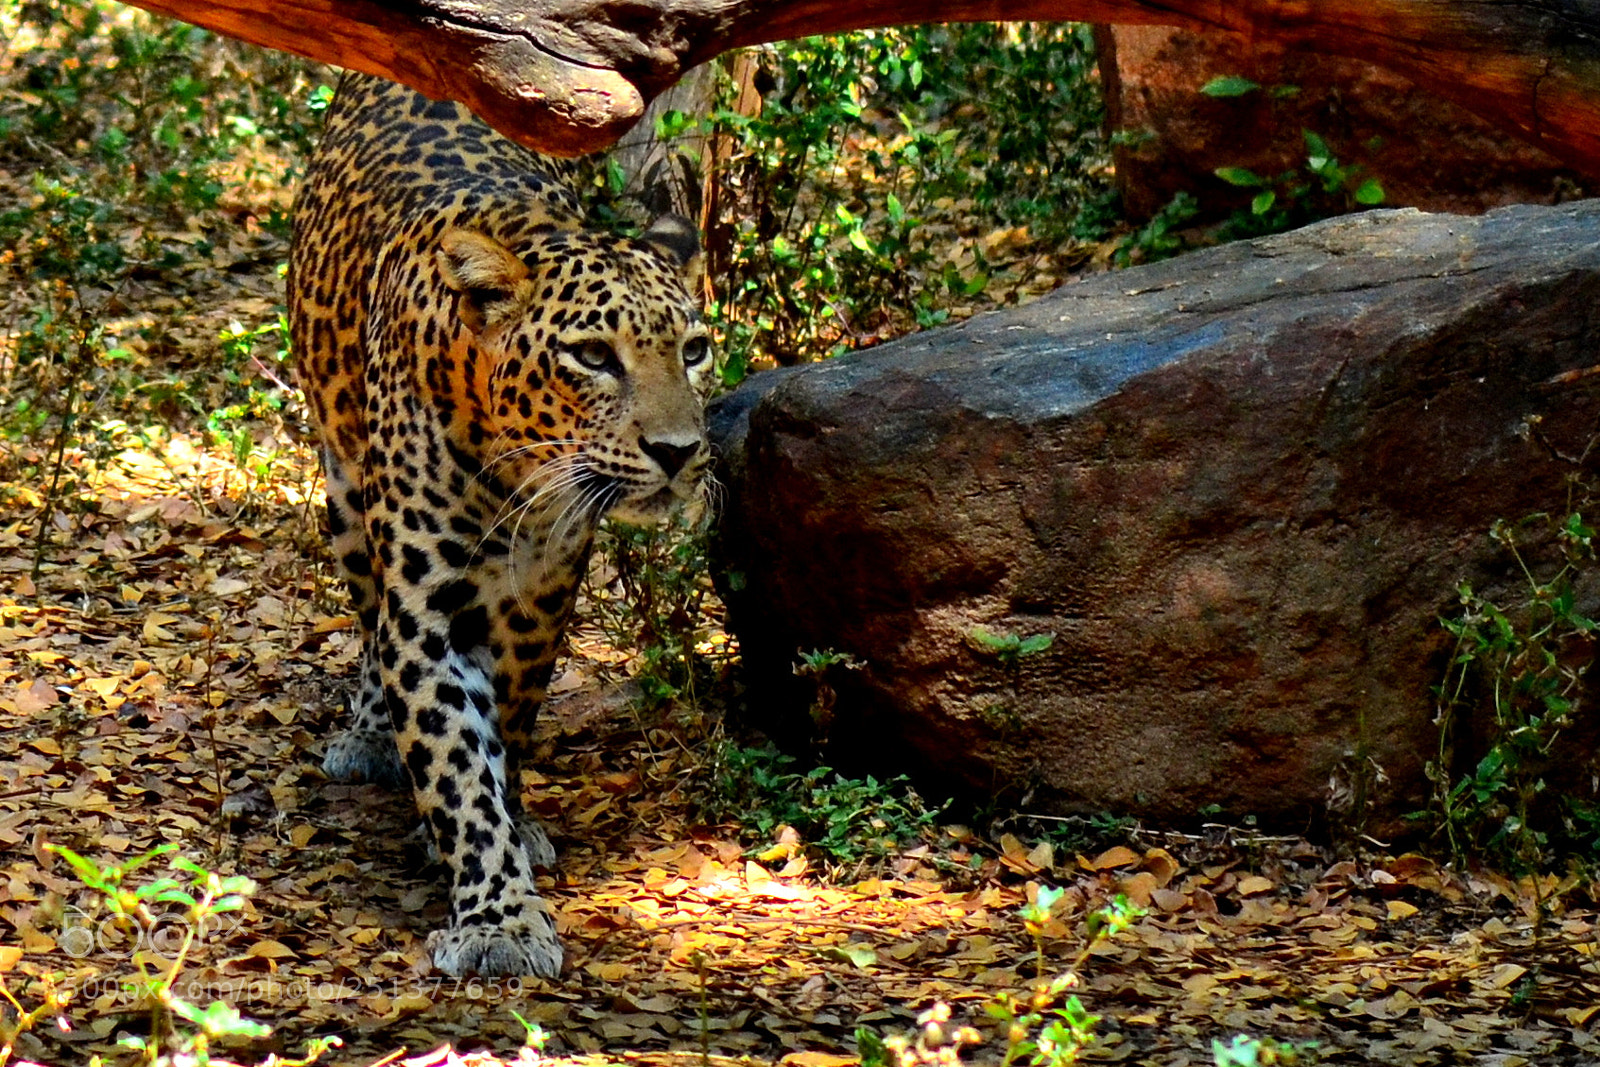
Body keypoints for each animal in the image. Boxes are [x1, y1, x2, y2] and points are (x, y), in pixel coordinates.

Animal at [287, 72, 714, 977]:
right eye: (593, 356)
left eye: (692, 350)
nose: (678, 450)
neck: (517, 473)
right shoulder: (428, 606)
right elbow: (452, 754)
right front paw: (499, 918)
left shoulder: (541, 594)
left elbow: (506, 723)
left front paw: (511, 821)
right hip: (344, 492)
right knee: (367, 615)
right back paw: (369, 734)